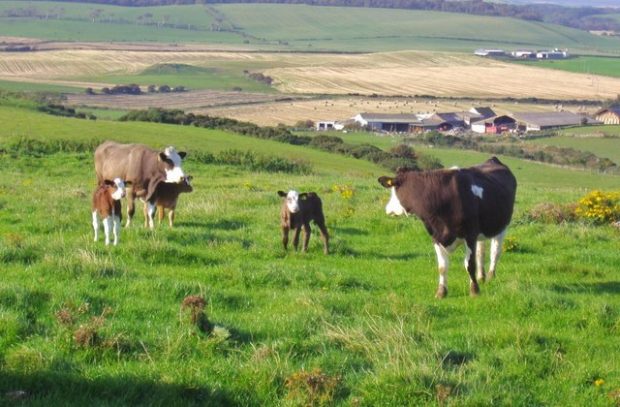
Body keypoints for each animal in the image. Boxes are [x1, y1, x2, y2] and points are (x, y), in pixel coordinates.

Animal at [378, 158, 520, 298]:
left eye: (394, 190)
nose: (387, 209)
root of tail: (493, 159)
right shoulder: (436, 237)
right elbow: (442, 267)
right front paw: (441, 292)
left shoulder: (470, 235)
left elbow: (470, 265)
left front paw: (474, 290)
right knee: (481, 252)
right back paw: (481, 277)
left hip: (502, 226)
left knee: (495, 252)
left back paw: (491, 275)